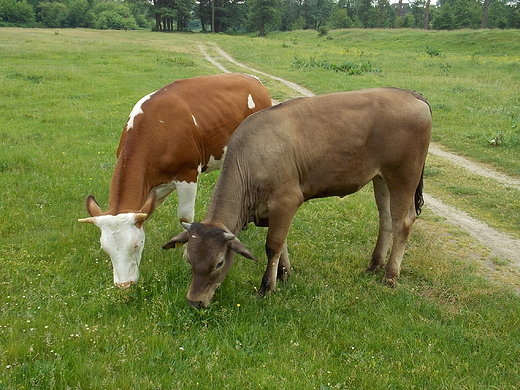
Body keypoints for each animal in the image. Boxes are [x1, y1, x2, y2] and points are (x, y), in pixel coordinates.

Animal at [78, 73, 272, 288]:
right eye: (105, 248)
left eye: (135, 245)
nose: (124, 285)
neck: (155, 130)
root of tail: (253, 79)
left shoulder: (188, 174)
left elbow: (185, 217)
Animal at [162, 88, 430, 308]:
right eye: (188, 259)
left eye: (218, 263)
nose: (195, 301)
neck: (251, 157)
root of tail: (410, 94)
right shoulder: (273, 210)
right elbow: (283, 243)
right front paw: (284, 274)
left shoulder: (286, 200)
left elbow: (273, 245)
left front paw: (267, 287)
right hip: (381, 178)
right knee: (386, 219)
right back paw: (374, 265)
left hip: (403, 176)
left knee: (402, 223)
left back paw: (390, 276)